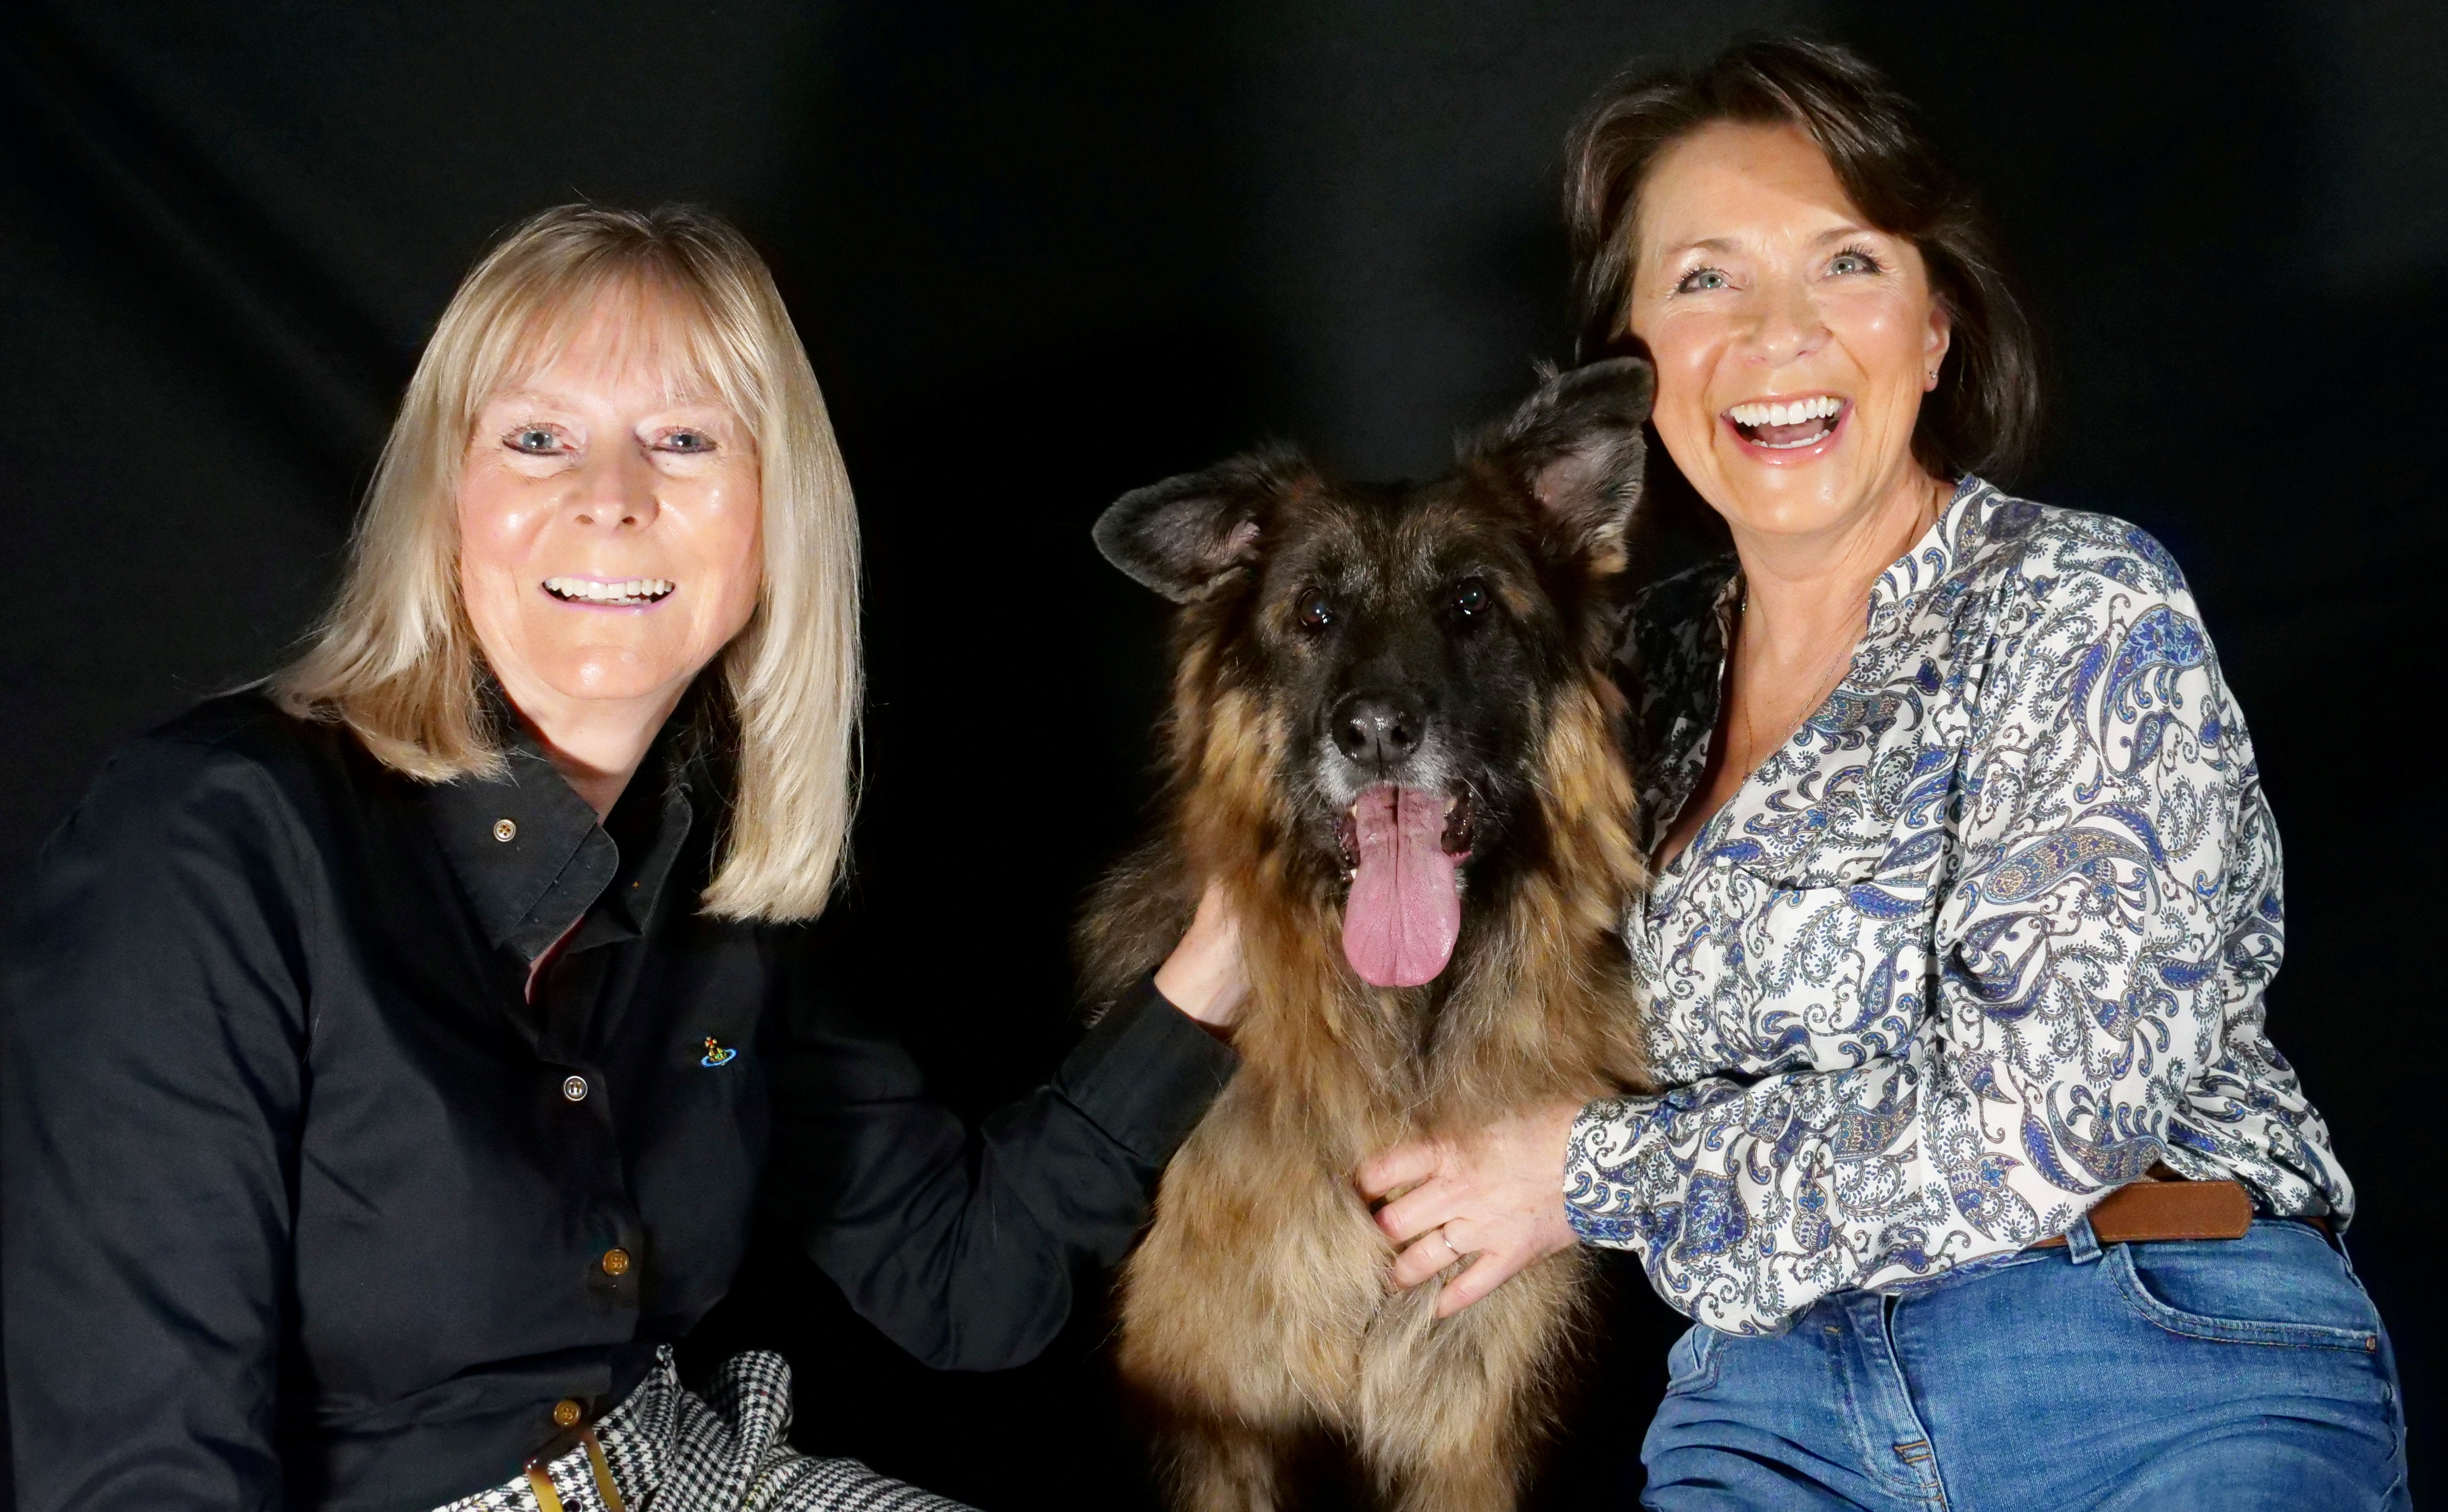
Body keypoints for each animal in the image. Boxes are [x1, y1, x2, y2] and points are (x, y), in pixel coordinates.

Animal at [1091, 359, 1664, 1497]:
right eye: (1313, 614)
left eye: (1470, 604)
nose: (1374, 733)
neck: (1397, 1028)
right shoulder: (1219, 1431)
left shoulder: (1469, 1439)